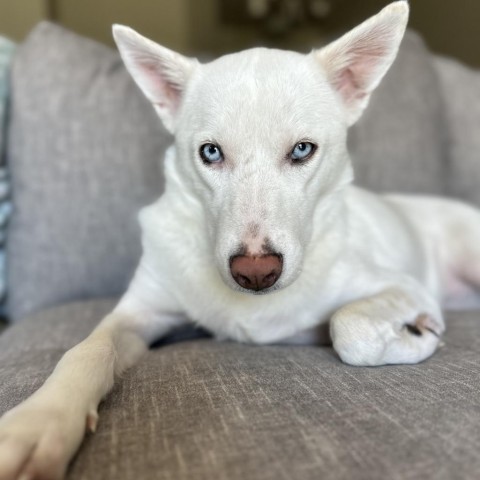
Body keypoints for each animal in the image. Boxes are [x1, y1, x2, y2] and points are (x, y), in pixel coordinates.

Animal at [0, 1, 476, 478]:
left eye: (302, 150)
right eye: (210, 152)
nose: (256, 273)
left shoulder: (403, 287)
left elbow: (350, 328)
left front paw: (417, 337)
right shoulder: (139, 313)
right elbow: (86, 350)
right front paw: (40, 422)